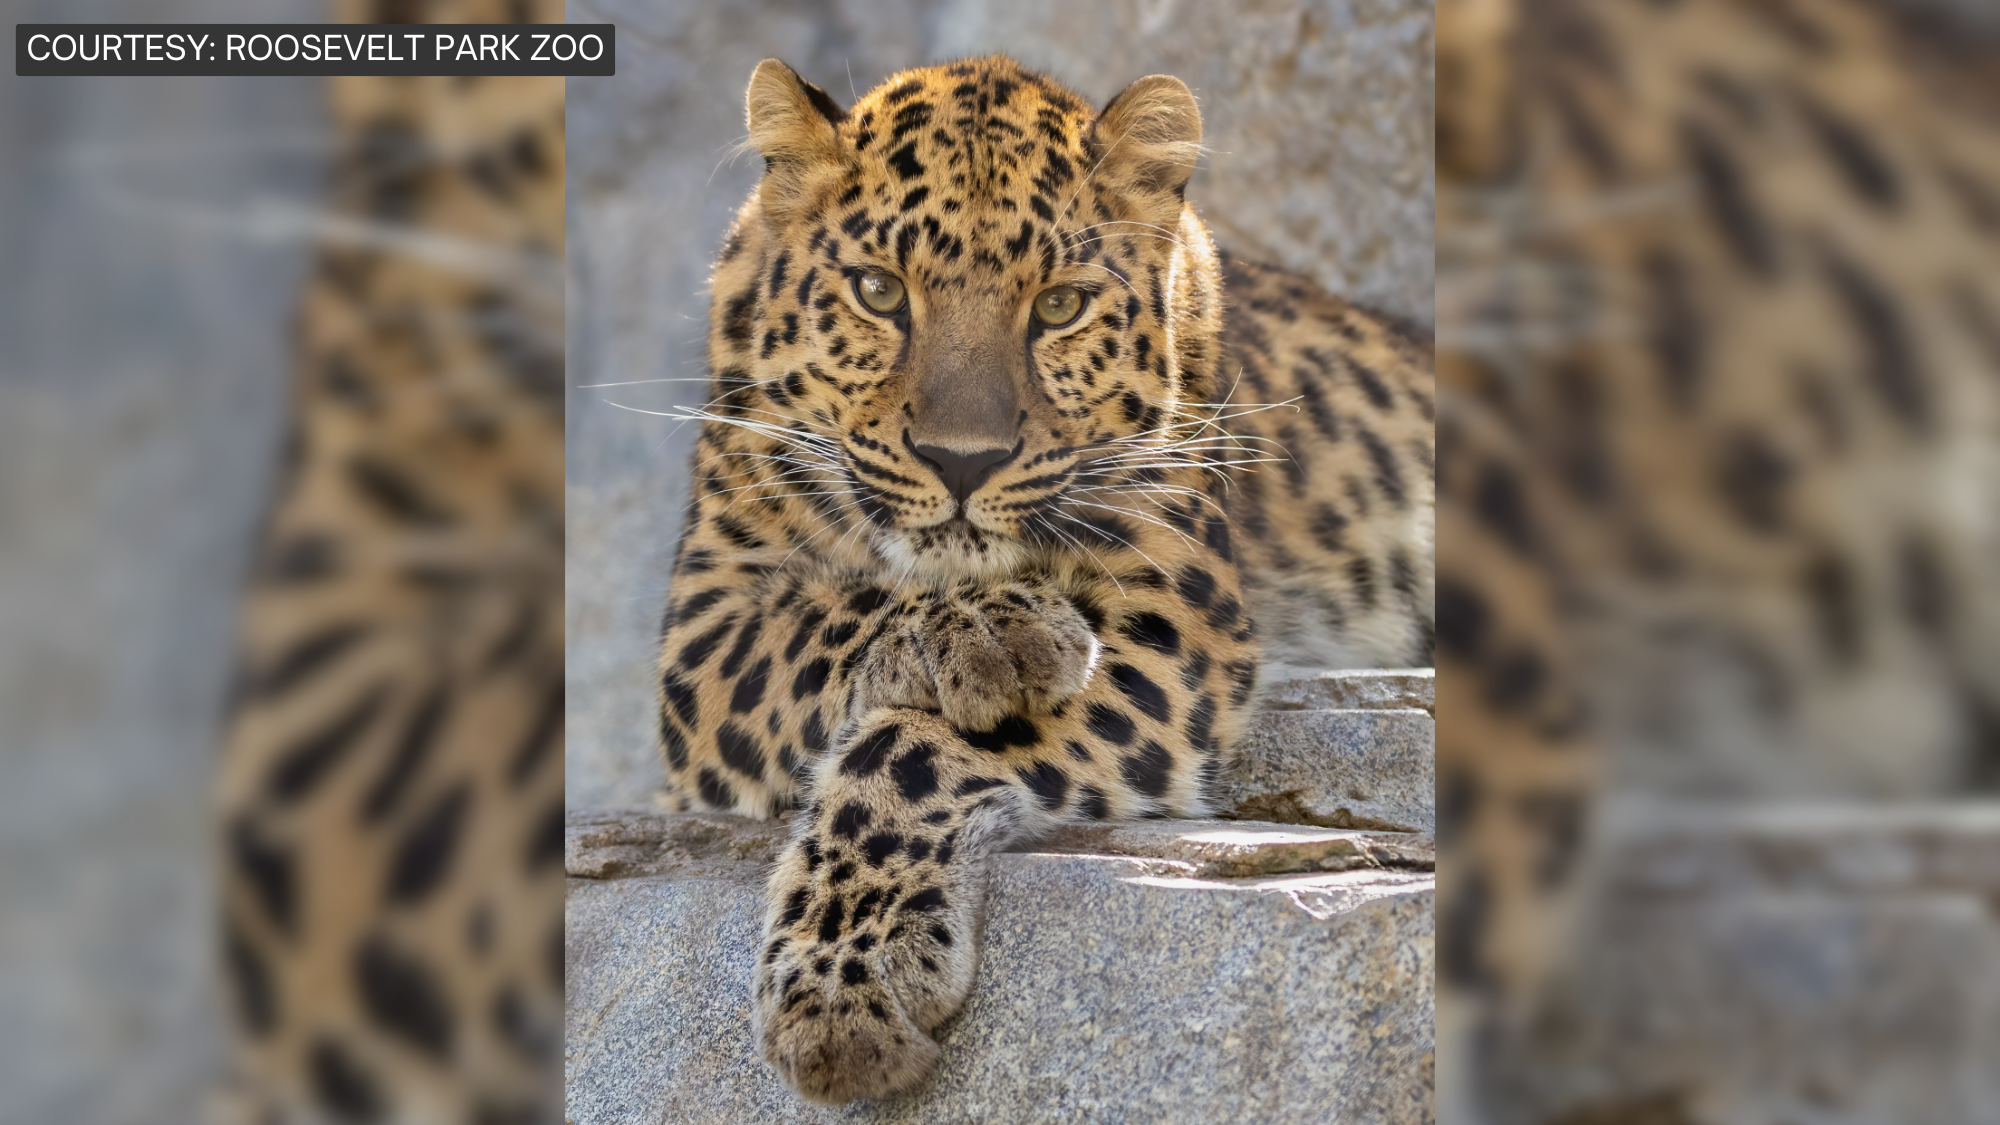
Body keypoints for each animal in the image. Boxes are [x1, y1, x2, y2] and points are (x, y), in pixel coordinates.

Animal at [652, 56, 1437, 1103]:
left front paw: (847, 977)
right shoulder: (704, 632)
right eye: (877, 291)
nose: (962, 461)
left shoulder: (1171, 625)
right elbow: (821, 622)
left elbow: (907, 747)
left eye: (1059, 306)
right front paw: (995, 631)